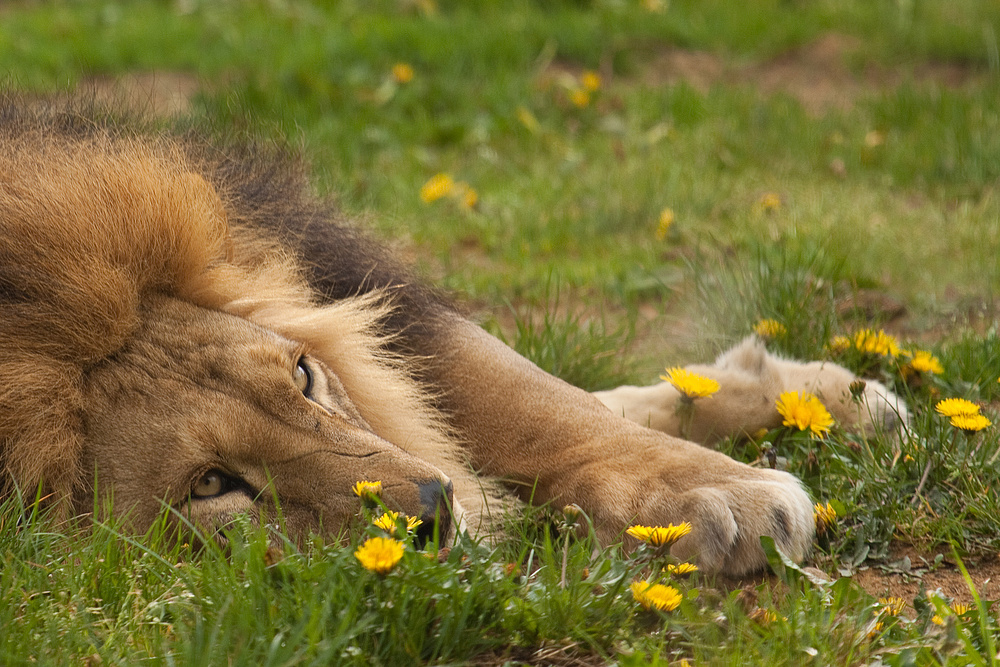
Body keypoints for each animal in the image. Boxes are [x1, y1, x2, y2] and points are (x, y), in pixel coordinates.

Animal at [0, 98, 908, 576]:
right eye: (210, 486)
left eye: (302, 376)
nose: (433, 511)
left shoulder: (356, 290)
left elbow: (541, 404)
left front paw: (724, 484)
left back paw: (824, 395)